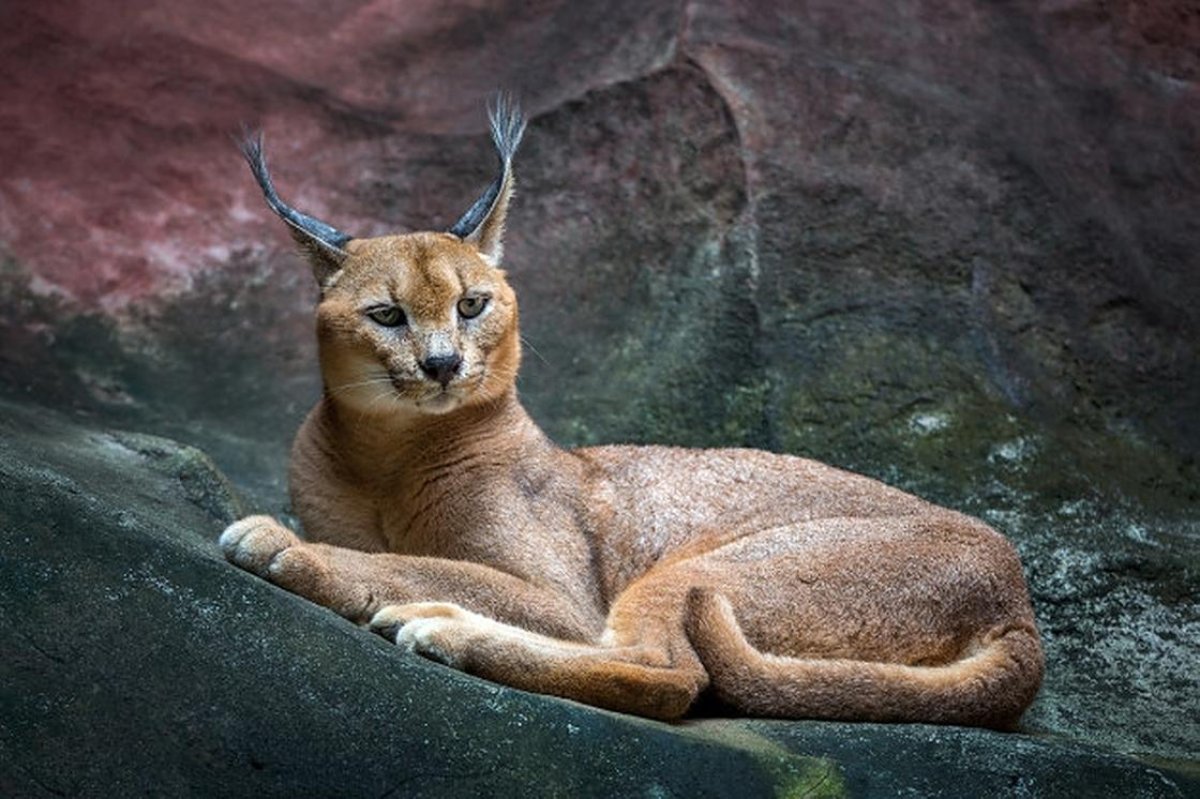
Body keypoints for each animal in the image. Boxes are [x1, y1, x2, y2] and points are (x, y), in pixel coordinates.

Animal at [223, 96, 1041, 724]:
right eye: (388, 315)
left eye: (471, 305)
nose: (443, 364)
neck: (384, 454)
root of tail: (1020, 597)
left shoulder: (563, 599)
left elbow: (422, 564)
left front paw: (292, 548)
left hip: (708, 571)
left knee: (670, 675)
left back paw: (441, 628)